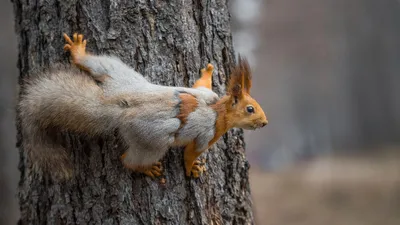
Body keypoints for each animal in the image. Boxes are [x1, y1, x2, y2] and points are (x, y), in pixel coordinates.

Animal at [18, 32, 268, 180]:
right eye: (250, 109)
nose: (265, 123)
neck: (219, 109)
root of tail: (120, 106)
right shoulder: (207, 134)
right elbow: (190, 153)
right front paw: (191, 169)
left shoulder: (207, 93)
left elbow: (200, 84)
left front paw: (207, 71)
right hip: (152, 139)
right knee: (128, 160)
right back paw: (145, 168)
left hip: (119, 73)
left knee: (96, 64)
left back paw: (79, 52)